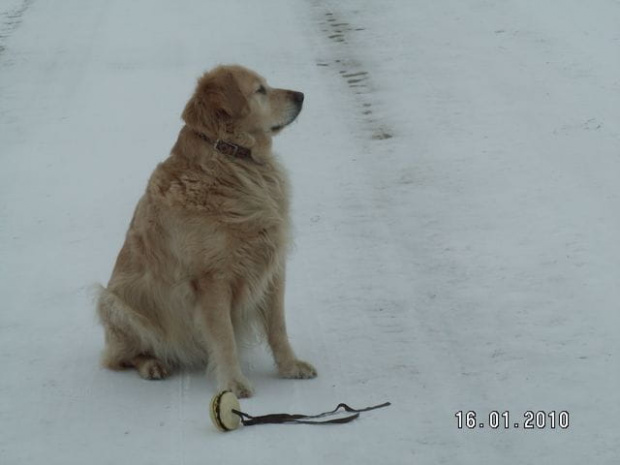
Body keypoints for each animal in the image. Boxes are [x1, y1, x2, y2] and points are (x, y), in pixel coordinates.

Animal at [100, 63, 320, 396]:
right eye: (260, 90)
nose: (302, 96)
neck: (232, 161)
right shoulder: (212, 279)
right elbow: (224, 337)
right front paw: (233, 383)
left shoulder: (273, 266)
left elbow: (278, 326)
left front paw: (290, 366)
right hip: (115, 302)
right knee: (121, 357)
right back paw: (152, 364)